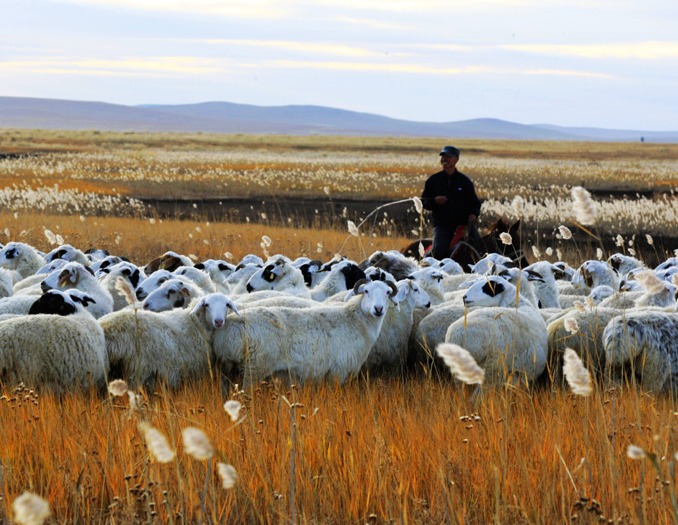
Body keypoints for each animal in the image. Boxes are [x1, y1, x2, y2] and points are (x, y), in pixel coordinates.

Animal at [101, 290, 239, 388]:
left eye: (227, 304)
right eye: (207, 305)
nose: (219, 321)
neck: (196, 323)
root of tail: (105, 327)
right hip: (138, 369)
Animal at [214, 278, 398, 384]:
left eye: (388, 292)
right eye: (366, 291)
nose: (378, 309)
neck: (357, 320)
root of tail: (232, 324)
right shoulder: (339, 371)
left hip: (230, 369)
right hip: (254, 368)